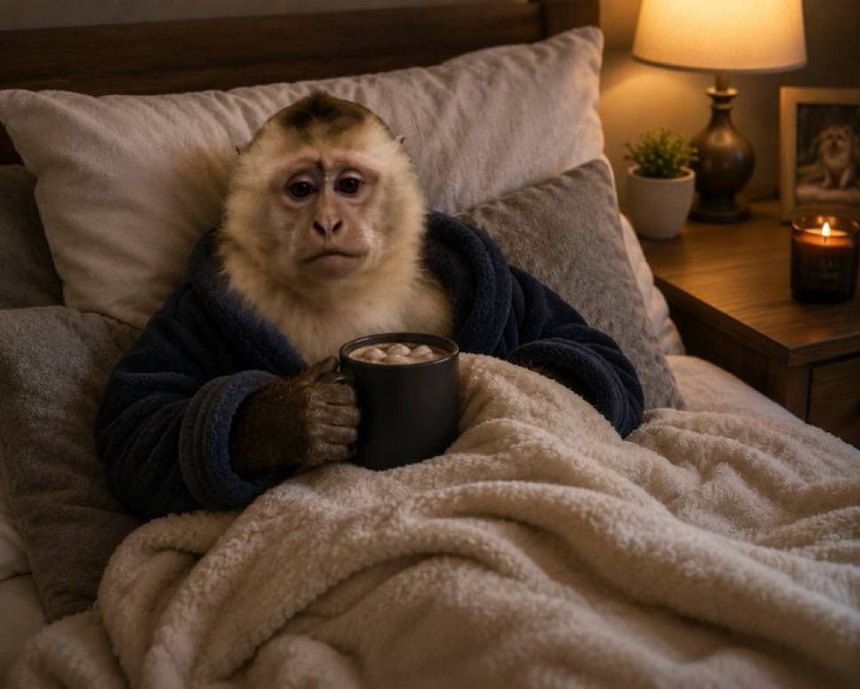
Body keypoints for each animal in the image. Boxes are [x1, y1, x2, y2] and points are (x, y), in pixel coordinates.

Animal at [96, 91, 644, 520]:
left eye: (348, 185)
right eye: (302, 190)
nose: (328, 223)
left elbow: (589, 349)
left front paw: (513, 381)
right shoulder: (201, 301)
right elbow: (137, 428)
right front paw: (292, 418)